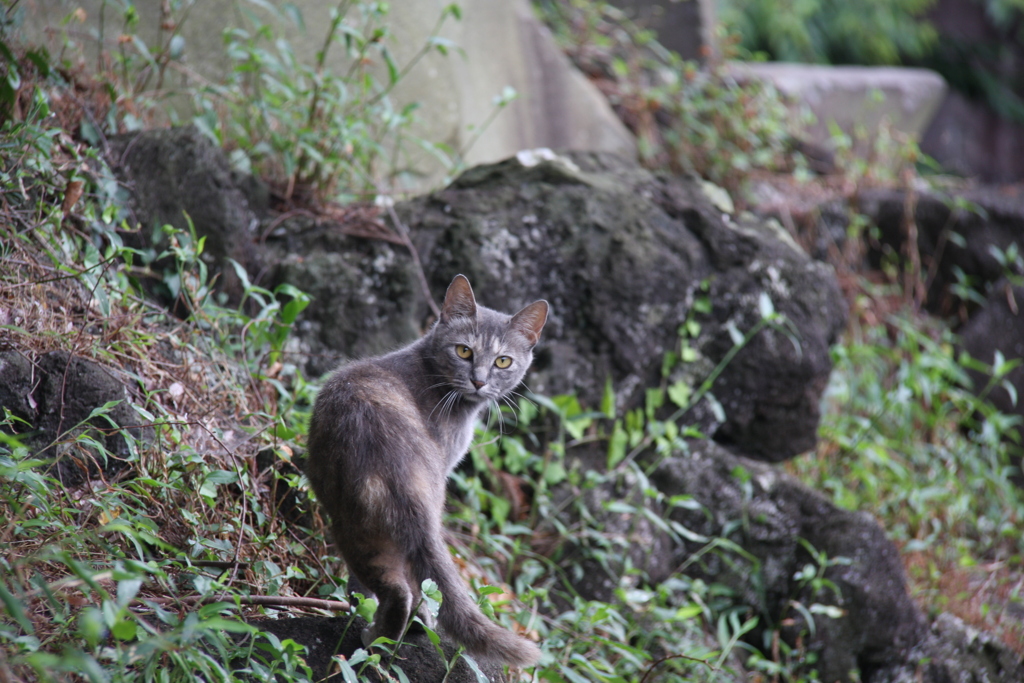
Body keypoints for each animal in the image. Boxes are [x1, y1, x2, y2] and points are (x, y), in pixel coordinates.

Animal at [305, 274, 548, 667]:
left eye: (503, 361)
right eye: (463, 351)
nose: (480, 380)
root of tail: (397, 466)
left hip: (356, 523)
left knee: (399, 589)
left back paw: (379, 634)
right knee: (405, 586)